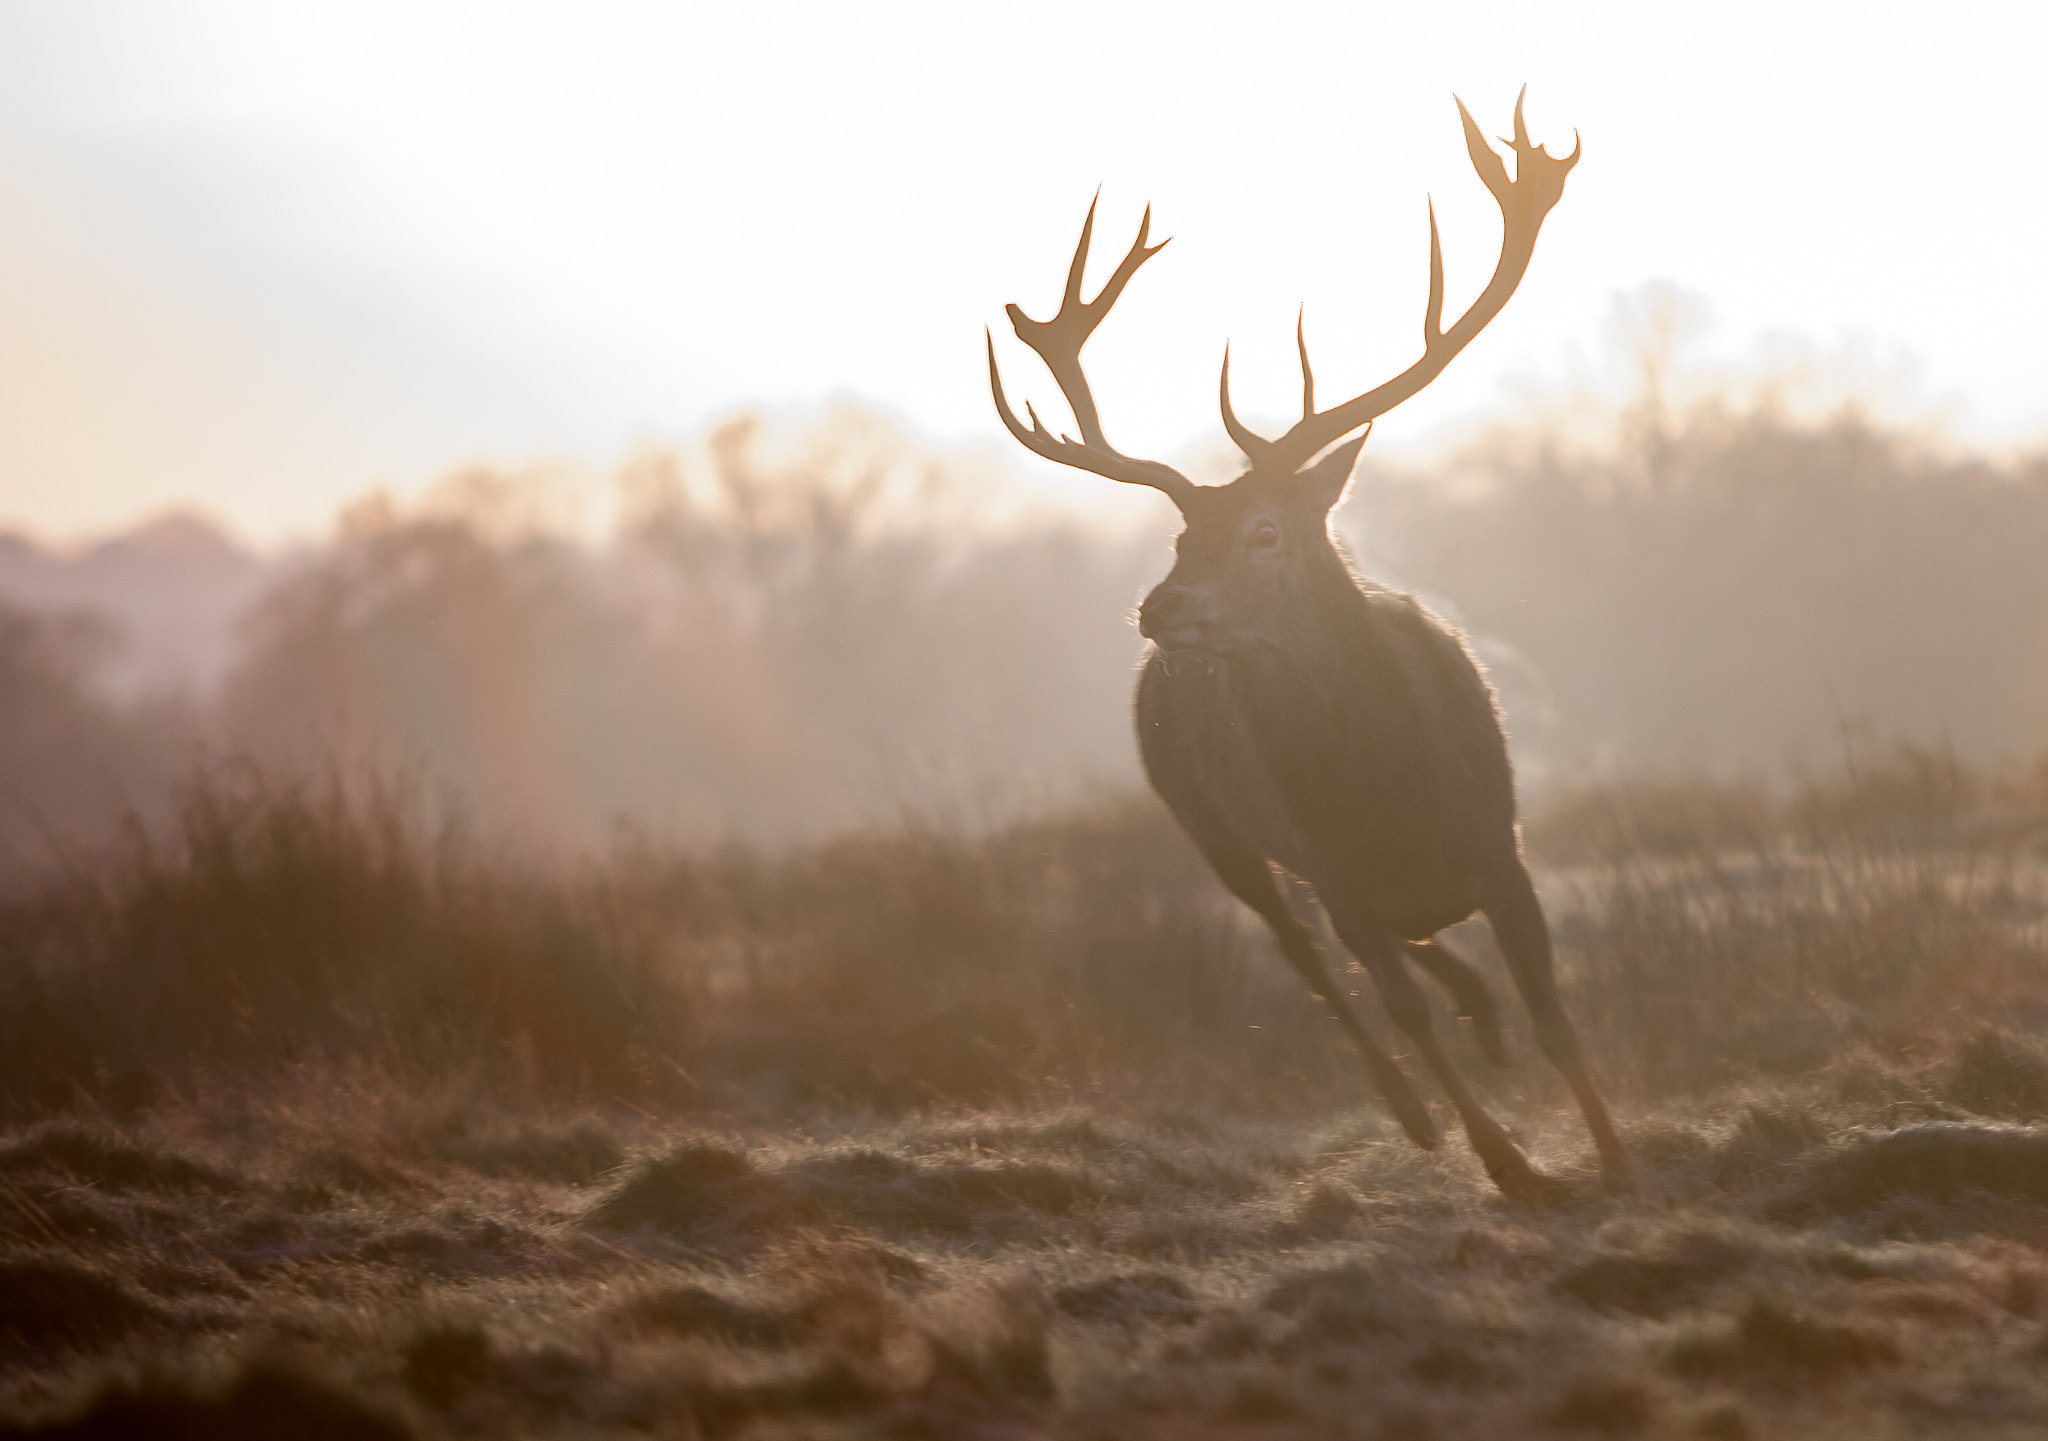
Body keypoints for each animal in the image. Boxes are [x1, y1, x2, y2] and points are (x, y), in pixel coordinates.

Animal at [991, 95, 1630, 1195]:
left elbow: (1553, 1015)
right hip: (1214, 830)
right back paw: (1416, 1101)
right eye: (1179, 535)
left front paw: (1613, 1153)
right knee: (1309, 958)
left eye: (1264, 532)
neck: (1393, 792)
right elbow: (1400, 1009)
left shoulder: (1501, 850)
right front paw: (1506, 1161)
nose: (1157, 607)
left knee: (1417, 947)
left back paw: (1480, 1007)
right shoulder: (1332, 872)